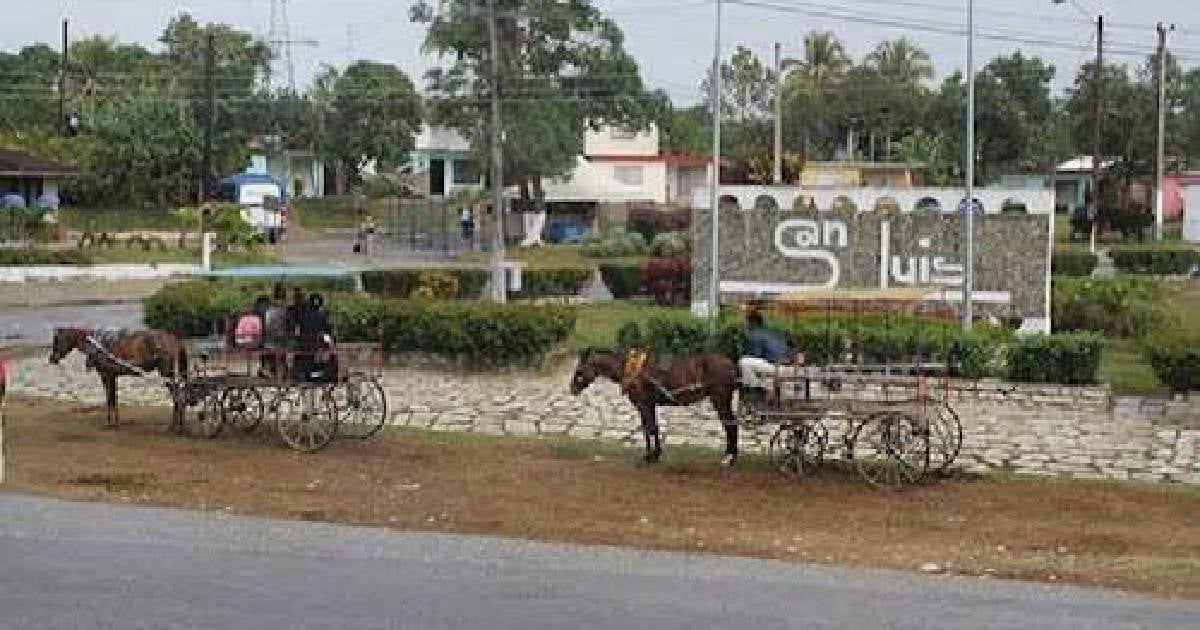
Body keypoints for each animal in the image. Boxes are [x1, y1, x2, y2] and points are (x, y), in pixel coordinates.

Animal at [48, 328, 187, 427]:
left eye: (56, 340)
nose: (52, 359)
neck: (96, 346)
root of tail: (174, 339)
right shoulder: (113, 376)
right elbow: (114, 398)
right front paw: (115, 421)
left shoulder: (106, 376)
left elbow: (109, 398)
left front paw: (109, 422)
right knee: (179, 394)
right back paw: (179, 424)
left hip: (167, 374)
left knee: (177, 395)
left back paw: (175, 425)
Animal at [568, 348, 739, 465]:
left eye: (579, 371)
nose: (572, 389)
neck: (633, 370)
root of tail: (730, 364)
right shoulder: (648, 405)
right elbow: (652, 428)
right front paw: (655, 454)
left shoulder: (643, 404)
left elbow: (649, 428)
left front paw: (650, 455)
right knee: (730, 424)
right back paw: (730, 455)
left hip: (720, 399)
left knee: (730, 425)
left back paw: (729, 457)